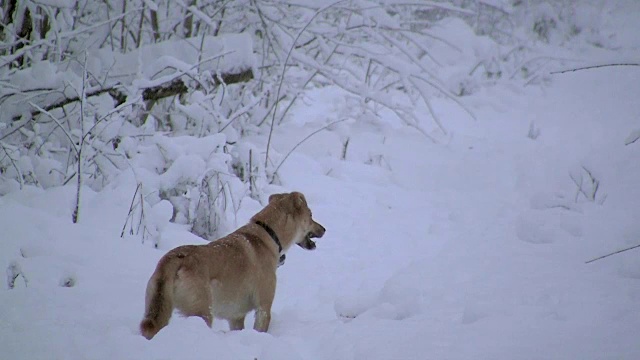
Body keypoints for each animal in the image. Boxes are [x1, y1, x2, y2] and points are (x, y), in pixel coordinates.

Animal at [139, 191, 324, 340]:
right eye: (311, 214)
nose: (324, 229)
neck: (269, 234)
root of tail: (175, 259)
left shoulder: (236, 316)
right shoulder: (263, 308)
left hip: (158, 308)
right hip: (202, 311)